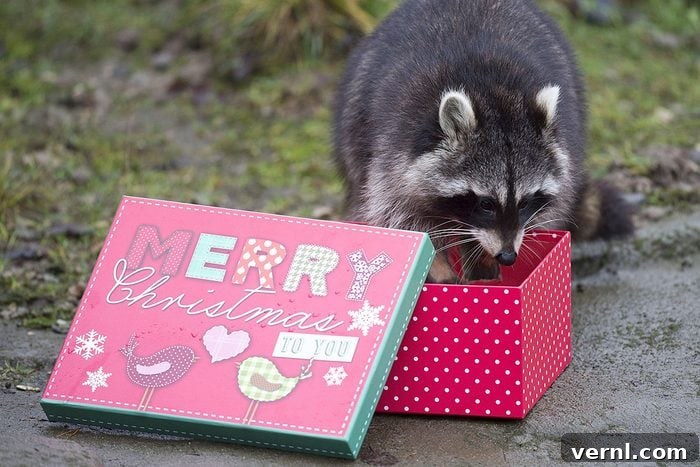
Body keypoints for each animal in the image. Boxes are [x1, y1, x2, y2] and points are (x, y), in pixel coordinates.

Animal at [333, 0, 633, 283]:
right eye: (486, 203)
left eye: (525, 202)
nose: (508, 256)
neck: (491, 92)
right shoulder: (395, 142)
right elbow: (400, 214)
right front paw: (436, 265)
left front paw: (481, 260)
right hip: (355, 115)